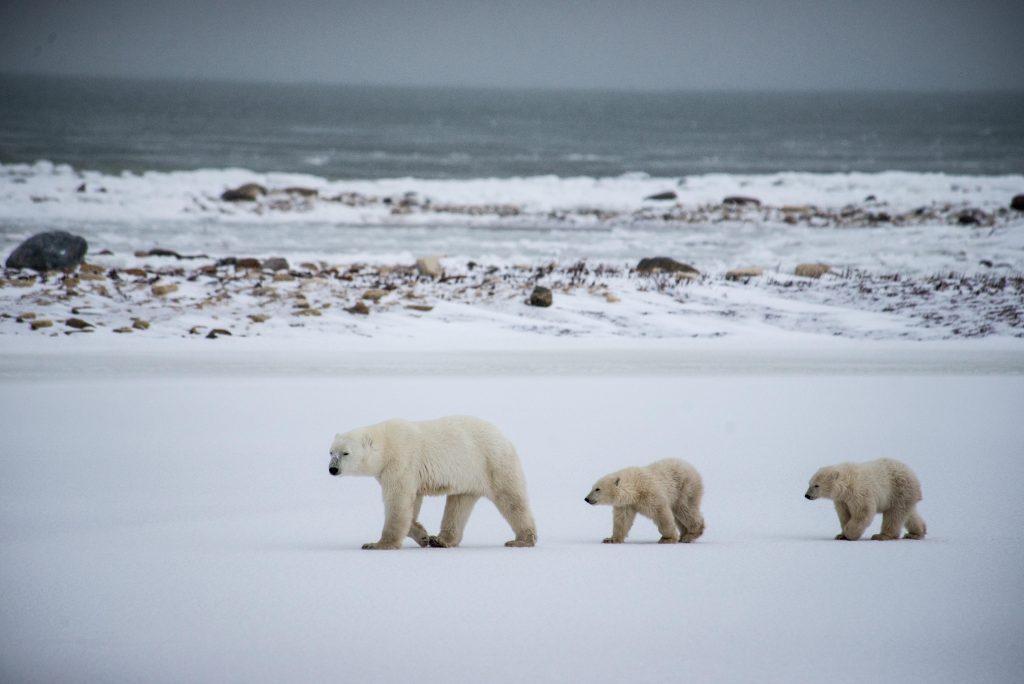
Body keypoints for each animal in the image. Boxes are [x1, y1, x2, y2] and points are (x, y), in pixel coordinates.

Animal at [329, 411, 540, 548]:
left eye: (345, 453)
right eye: (331, 452)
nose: (332, 469)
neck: (386, 446)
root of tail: (503, 436)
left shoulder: (401, 462)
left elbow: (398, 502)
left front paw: (377, 544)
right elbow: (412, 502)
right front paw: (422, 535)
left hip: (492, 462)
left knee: (511, 500)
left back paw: (522, 540)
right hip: (468, 477)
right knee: (458, 505)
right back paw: (441, 540)